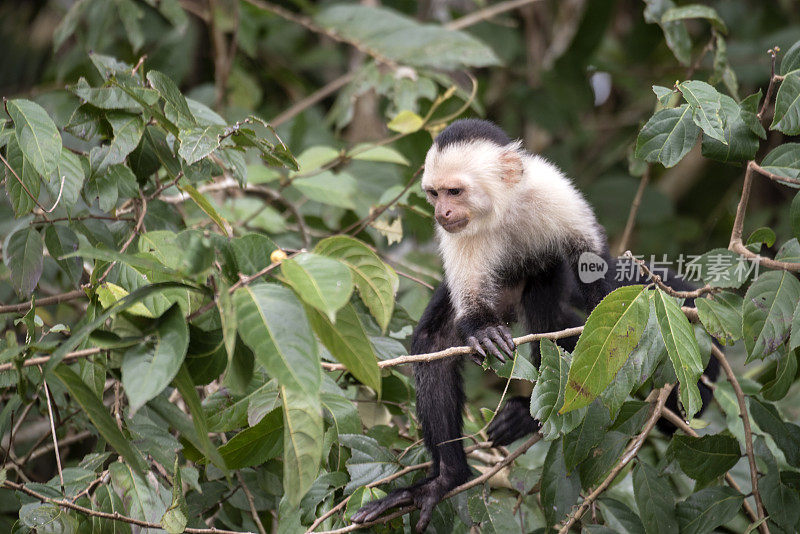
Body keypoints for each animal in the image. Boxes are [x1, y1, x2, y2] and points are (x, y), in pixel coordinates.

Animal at [350, 119, 720, 532]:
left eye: (455, 191)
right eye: (434, 193)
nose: (442, 212)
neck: (500, 208)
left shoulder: (552, 191)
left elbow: (590, 264)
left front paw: (611, 314)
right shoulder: (458, 235)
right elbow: (466, 311)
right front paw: (482, 333)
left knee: (551, 314)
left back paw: (532, 414)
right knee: (435, 344)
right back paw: (445, 479)